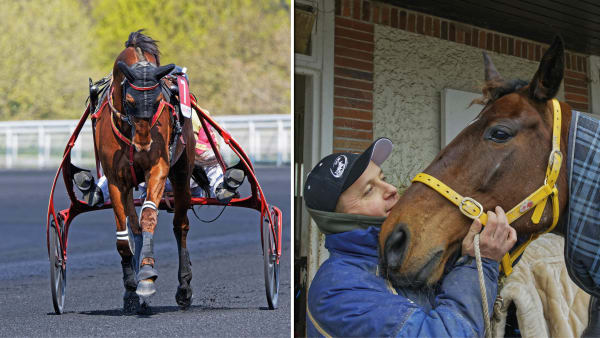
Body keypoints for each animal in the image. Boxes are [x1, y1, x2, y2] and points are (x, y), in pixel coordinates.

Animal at [95, 31, 196, 312]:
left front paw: (147, 276)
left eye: (160, 101)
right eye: (129, 101)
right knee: (135, 227)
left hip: (182, 173)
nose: (144, 144)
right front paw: (131, 288)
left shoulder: (158, 168)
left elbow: (150, 216)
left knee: (180, 225)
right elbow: (124, 235)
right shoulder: (117, 180)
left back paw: (184, 288)